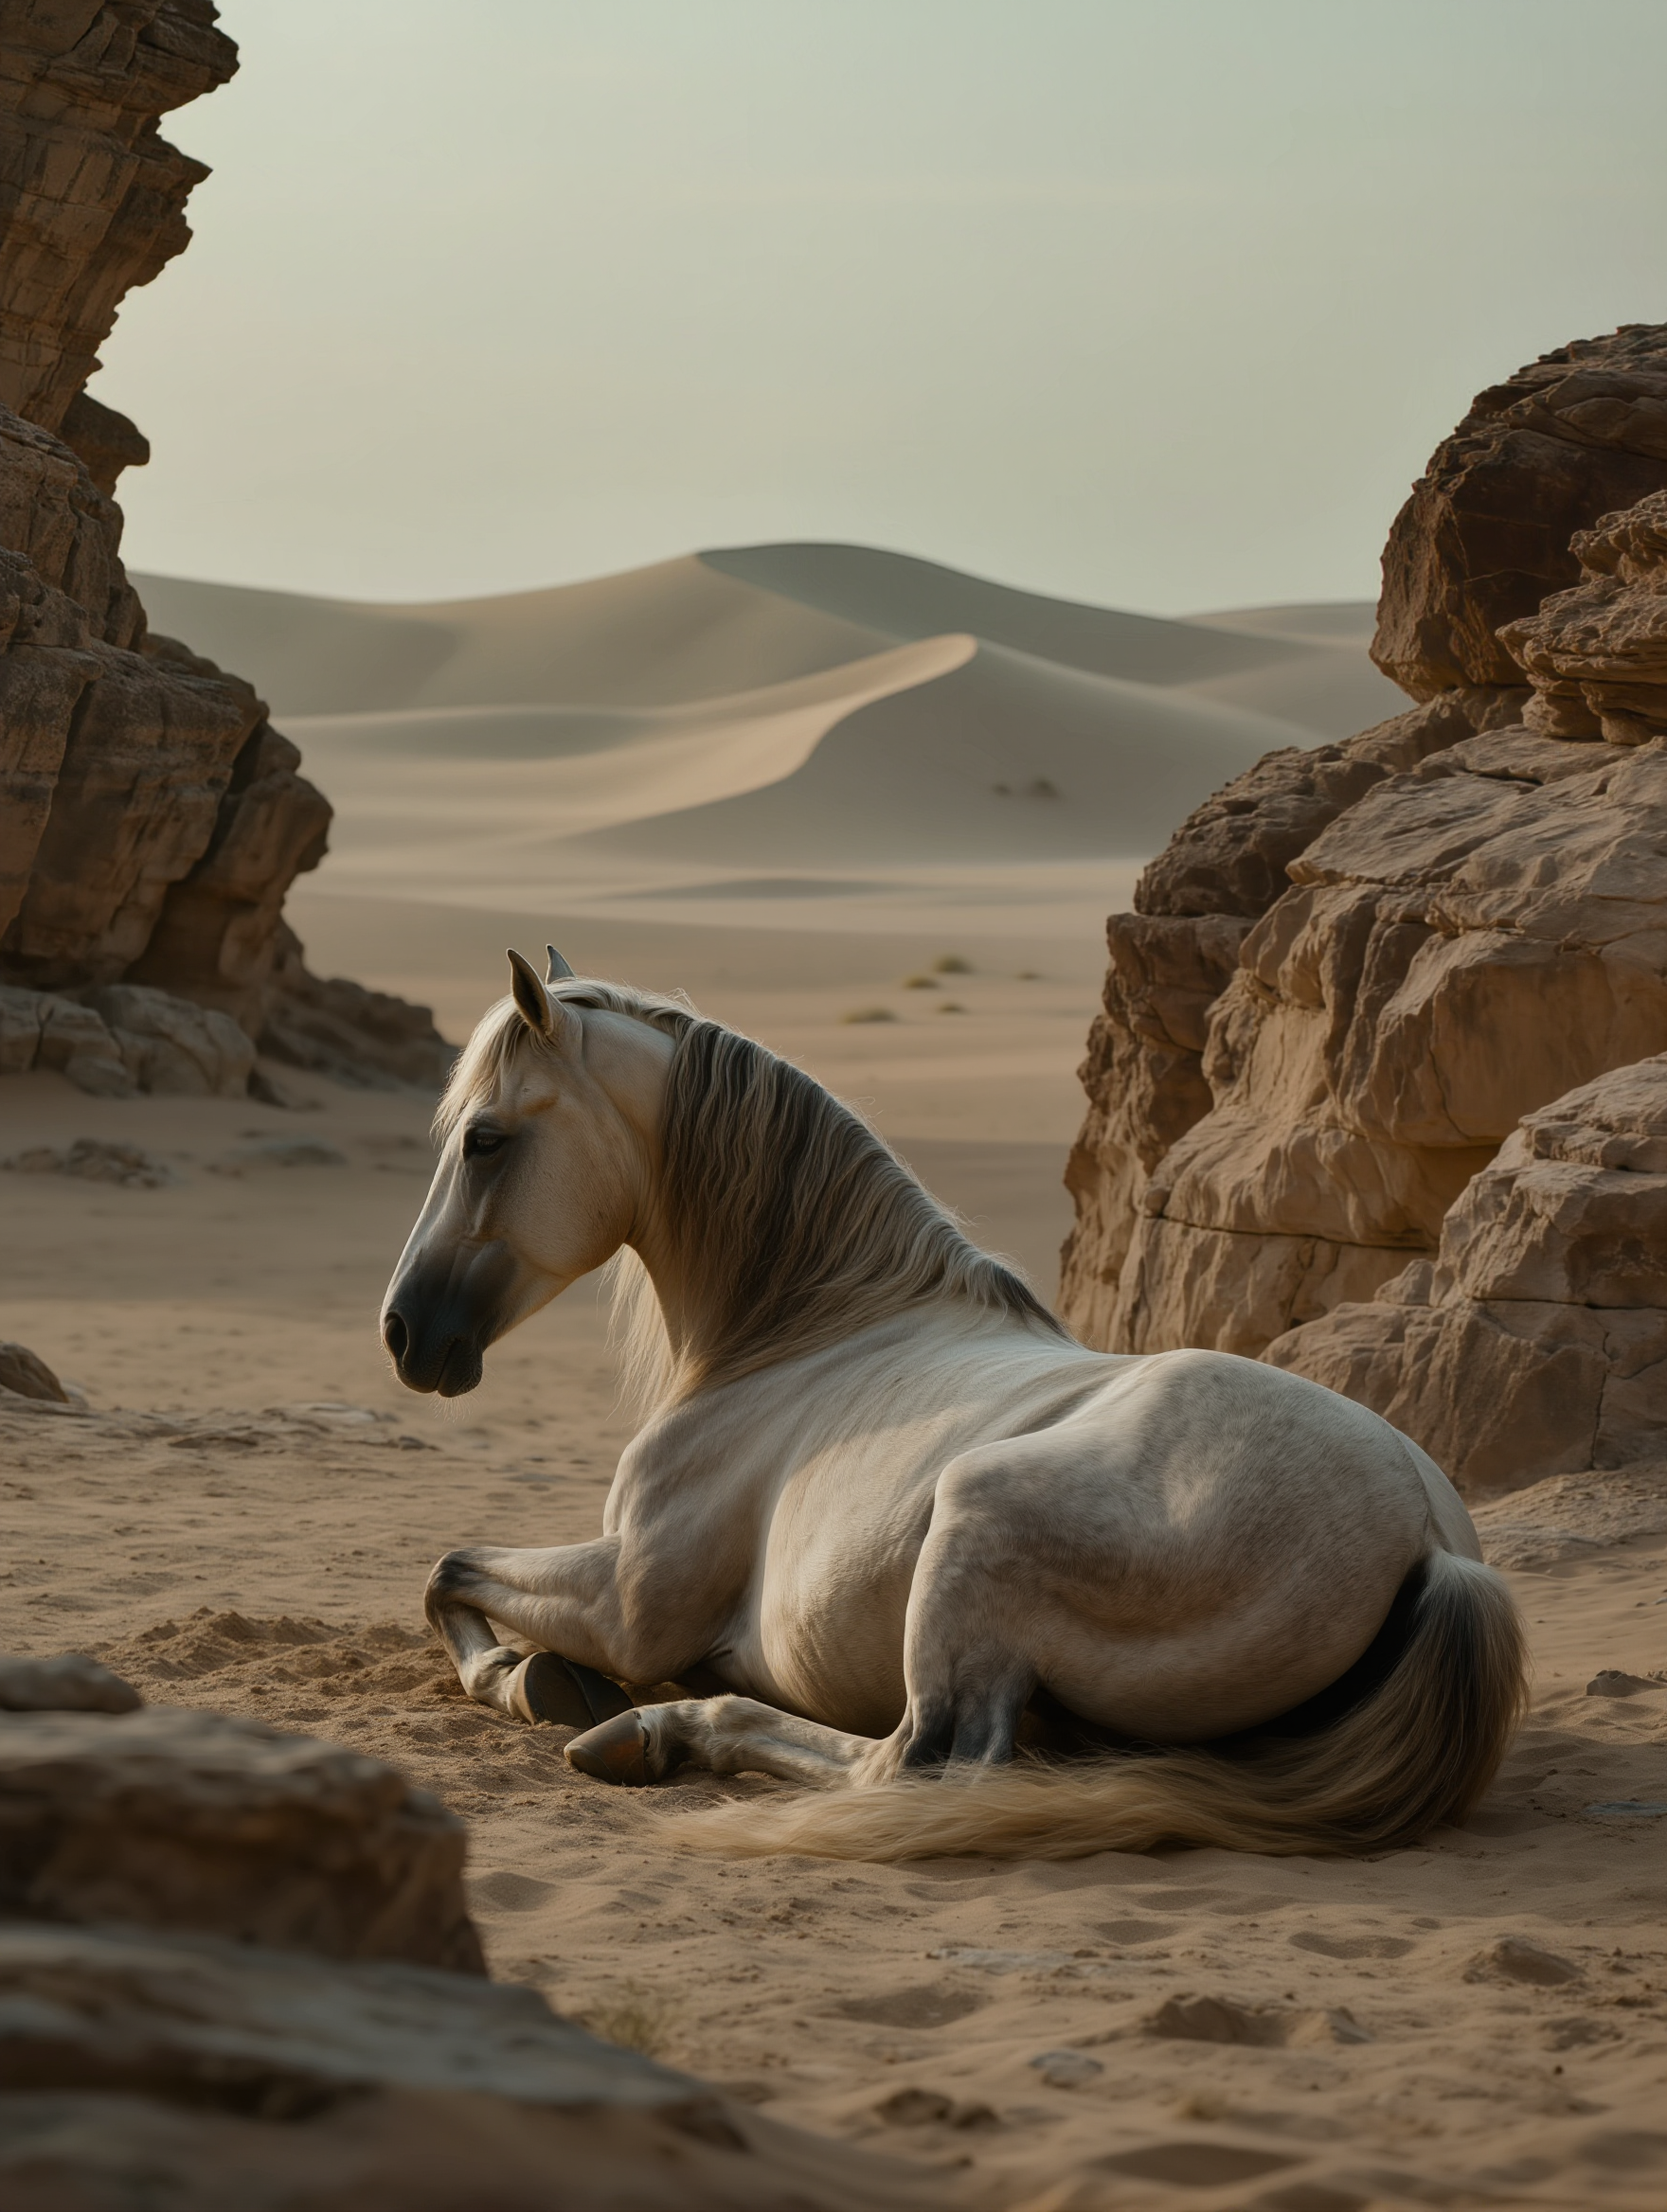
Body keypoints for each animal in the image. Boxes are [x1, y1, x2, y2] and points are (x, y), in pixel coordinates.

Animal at [379, 949, 1526, 1861]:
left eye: (484, 1139)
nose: (402, 1330)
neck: (813, 1329)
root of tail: (1429, 1539)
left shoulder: (627, 1605)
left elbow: (448, 1569)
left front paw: (531, 1678)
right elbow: (451, 1570)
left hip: (967, 1530)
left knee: (914, 1764)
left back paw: (660, 1732)